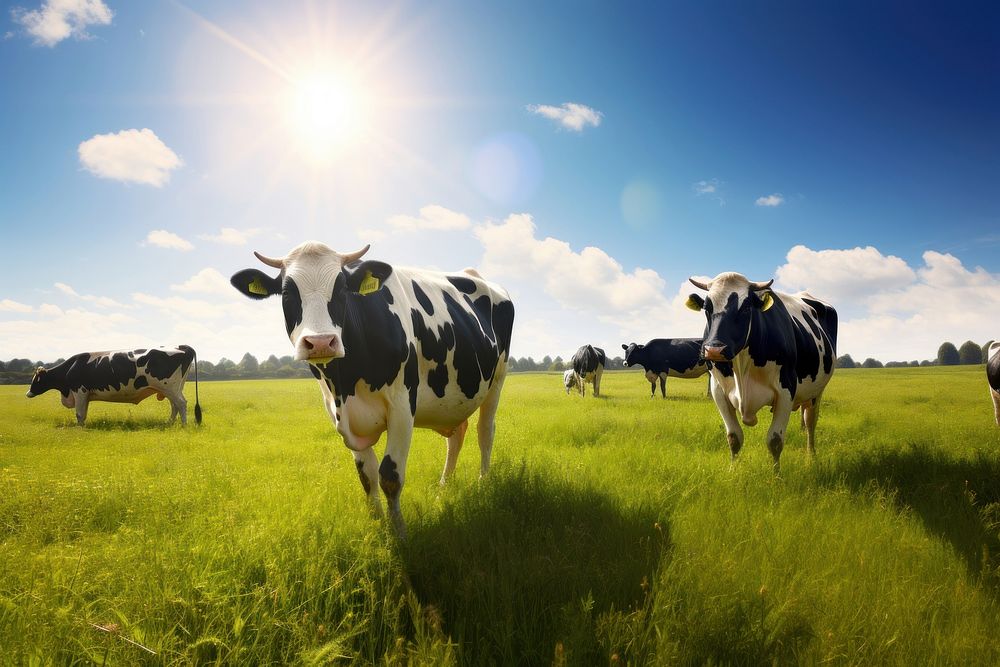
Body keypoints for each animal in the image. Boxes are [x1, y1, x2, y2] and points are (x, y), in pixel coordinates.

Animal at [24, 344, 201, 428]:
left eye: (36, 380)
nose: (28, 393)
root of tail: (180, 346)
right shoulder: (85, 395)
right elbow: (84, 413)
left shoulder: (79, 391)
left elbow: (79, 414)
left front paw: (79, 427)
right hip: (171, 388)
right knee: (175, 405)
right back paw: (169, 423)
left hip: (169, 387)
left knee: (181, 404)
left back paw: (184, 425)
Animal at [232, 241, 516, 536]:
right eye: (287, 292)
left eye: (342, 289)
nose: (321, 342)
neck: (345, 382)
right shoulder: (339, 415)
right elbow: (366, 476)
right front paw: (377, 528)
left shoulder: (402, 406)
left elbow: (389, 476)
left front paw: (400, 533)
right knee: (457, 435)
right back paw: (443, 489)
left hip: (498, 379)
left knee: (485, 432)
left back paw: (484, 484)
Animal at [684, 274, 840, 472]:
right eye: (706, 307)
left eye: (746, 308)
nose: (714, 350)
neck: (742, 368)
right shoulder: (718, 390)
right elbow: (734, 437)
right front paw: (733, 470)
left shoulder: (786, 390)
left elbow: (775, 441)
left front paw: (776, 475)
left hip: (817, 392)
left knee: (810, 423)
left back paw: (811, 457)